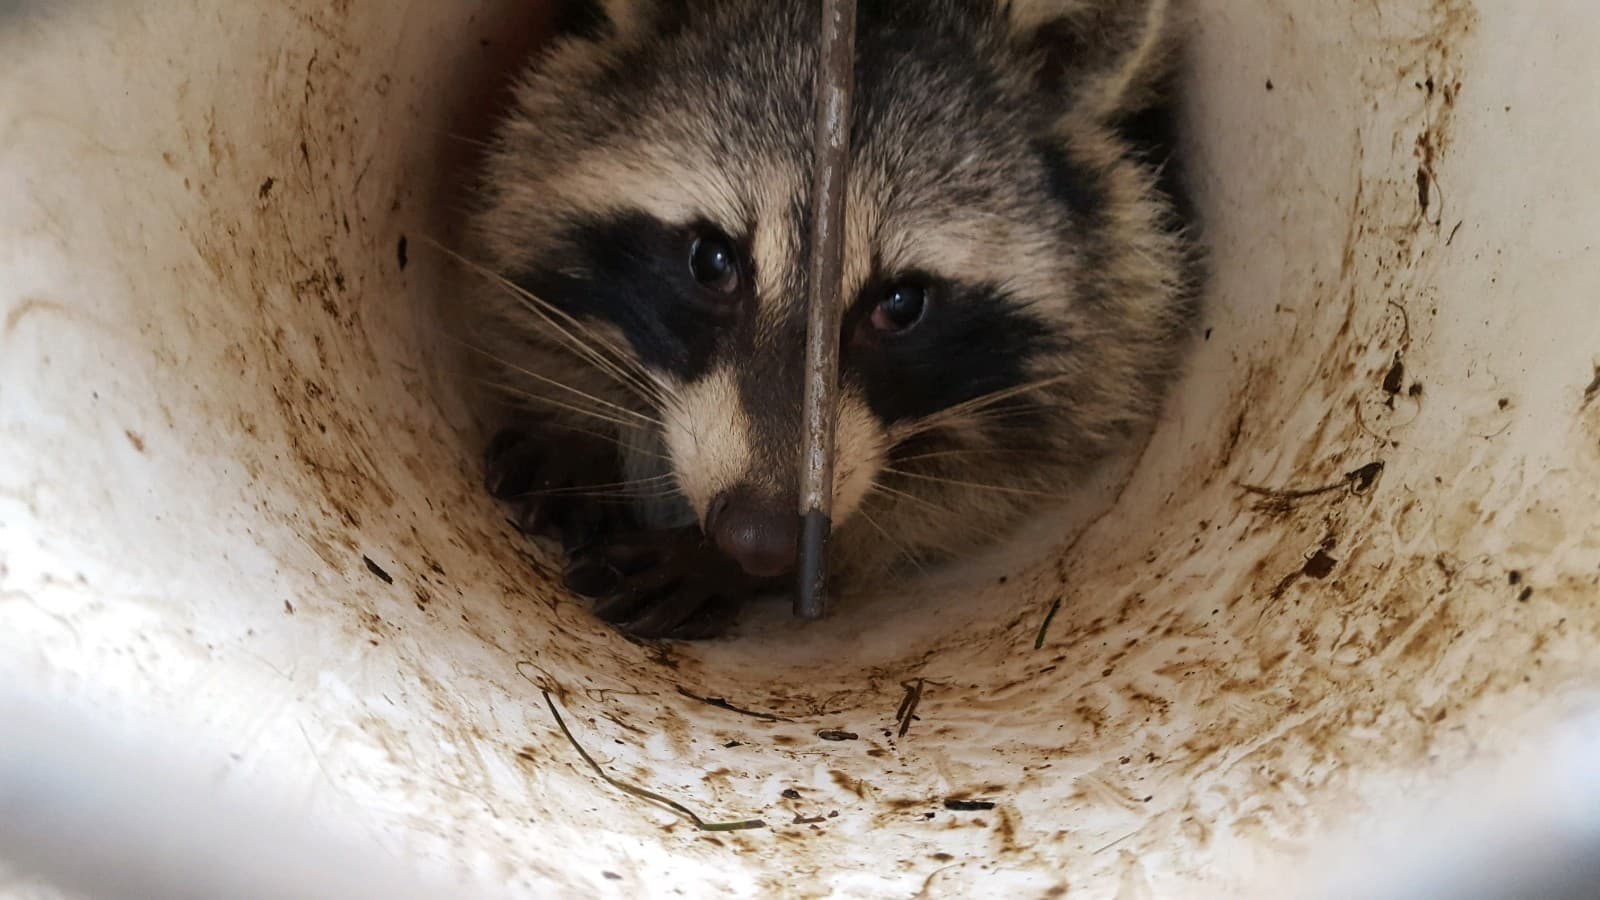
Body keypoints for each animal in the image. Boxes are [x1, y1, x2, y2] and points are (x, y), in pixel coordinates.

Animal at [463, 0, 1199, 639]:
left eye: (901, 303)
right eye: (712, 260)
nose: (758, 539)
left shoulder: (1117, 293)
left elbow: (995, 484)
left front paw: (728, 564)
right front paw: (574, 416)